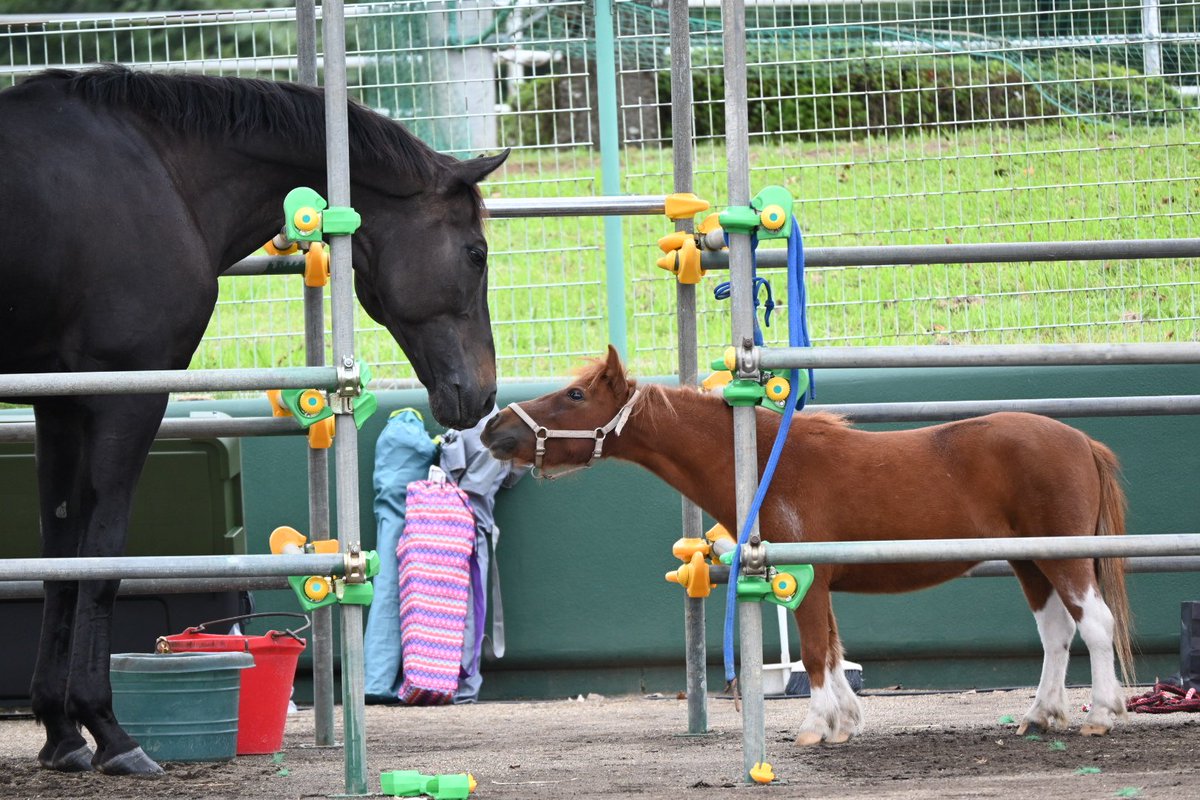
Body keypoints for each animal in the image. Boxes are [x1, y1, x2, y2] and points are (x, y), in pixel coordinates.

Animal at [0, 66, 507, 774]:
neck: (162, 172)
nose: (483, 393)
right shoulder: (128, 393)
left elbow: (59, 560)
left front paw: (61, 731)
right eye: (476, 253)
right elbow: (101, 558)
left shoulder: (60, 401)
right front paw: (110, 732)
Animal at [481, 346, 1135, 746]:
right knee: (1056, 632)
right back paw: (1039, 716)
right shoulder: (816, 580)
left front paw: (818, 725)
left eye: (574, 396)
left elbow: (818, 651)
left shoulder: (805, 574)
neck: (772, 463)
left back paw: (1103, 714)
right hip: (1031, 560)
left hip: (1062, 556)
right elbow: (834, 649)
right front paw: (845, 720)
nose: (493, 429)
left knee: (1095, 623)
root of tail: (1082, 441)